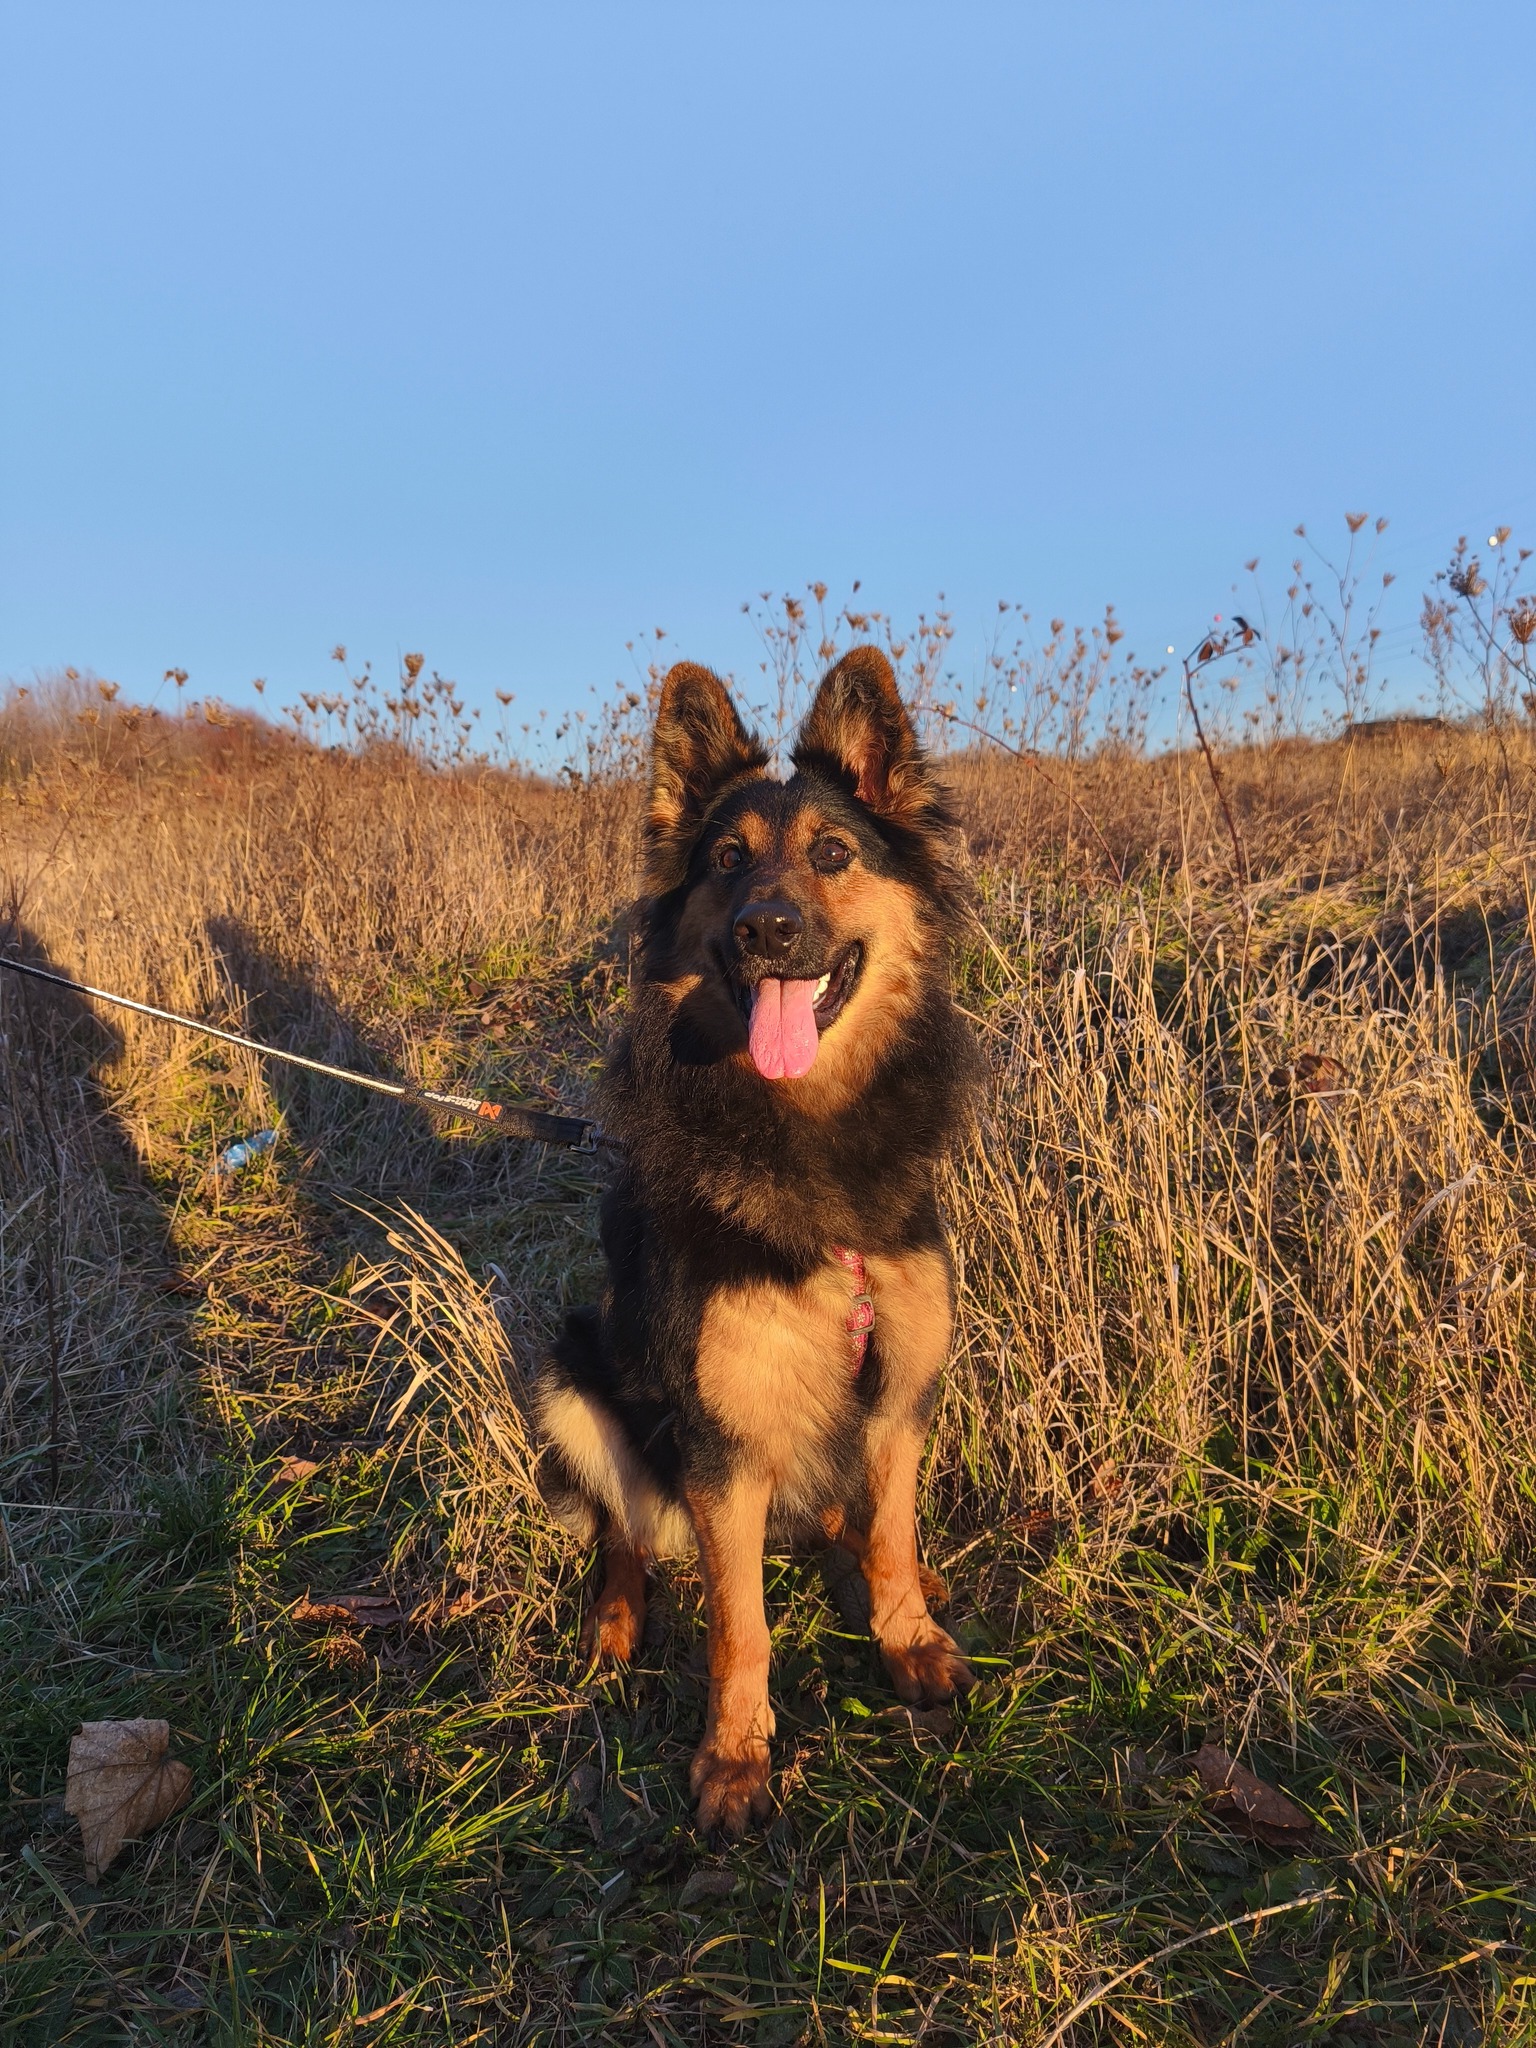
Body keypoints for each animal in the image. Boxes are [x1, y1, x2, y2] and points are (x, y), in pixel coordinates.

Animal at [535, 646, 981, 1835]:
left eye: (833, 854)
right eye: (727, 862)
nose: (766, 932)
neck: (803, 1128)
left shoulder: (900, 1385)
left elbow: (892, 1532)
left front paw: (907, 1634)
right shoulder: (719, 1441)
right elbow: (741, 1627)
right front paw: (736, 1756)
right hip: (570, 1370)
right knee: (627, 1531)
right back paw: (616, 1619)